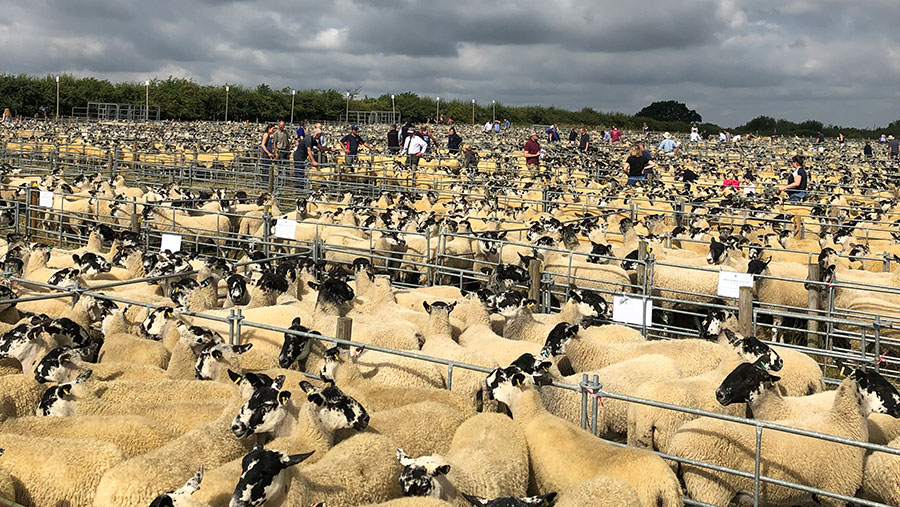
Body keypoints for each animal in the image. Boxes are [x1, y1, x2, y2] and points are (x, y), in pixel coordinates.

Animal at [668, 370, 900, 507]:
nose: (899, 405)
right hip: (710, 489)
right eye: (880, 386)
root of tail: (676, 445)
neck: (842, 424)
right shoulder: (834, 492)